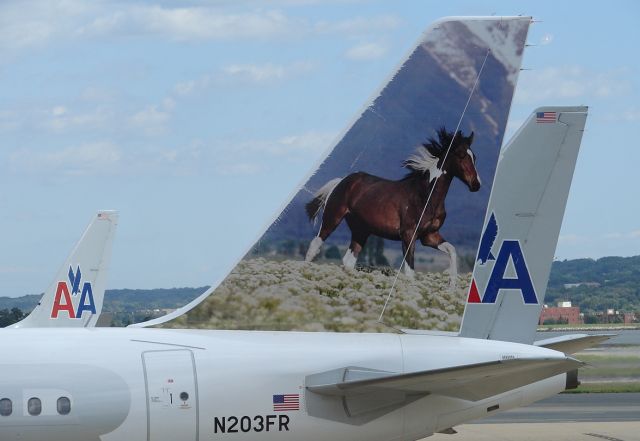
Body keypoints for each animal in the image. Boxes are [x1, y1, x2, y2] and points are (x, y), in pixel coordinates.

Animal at [304, 129, 480, 284]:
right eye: (461, 155)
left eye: (474, 157)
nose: (476, 185)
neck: (425, 196)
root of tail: (342, 181)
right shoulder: (408, 235)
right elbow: (409, 272)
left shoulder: (429, 236)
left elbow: (452, 250)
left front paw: (452, 284)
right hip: (332, 218)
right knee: (314, 246)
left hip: (361, 231)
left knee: (348, 260)